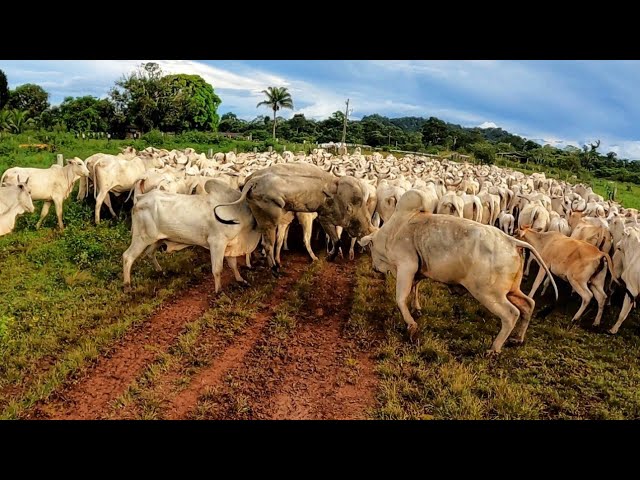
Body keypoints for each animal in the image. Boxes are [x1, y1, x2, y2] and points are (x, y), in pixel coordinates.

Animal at [122, 180, 260, 292]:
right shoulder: (217, 242)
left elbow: (233, 265)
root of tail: (140, 198)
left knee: (150, 253)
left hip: (158, 239)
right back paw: (127, 286)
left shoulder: (230, 245)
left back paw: (161, 272)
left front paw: (240, 280)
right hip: (141, 238)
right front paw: (218, 291)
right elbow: (217, 269)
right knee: (127, 257)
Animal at [212, 162, 372, 272]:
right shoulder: (325, 218)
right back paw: (275, 268)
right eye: (350, 206)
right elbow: (335, 239)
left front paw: (330, 256)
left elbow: (337, 240)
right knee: (268, 244)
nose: (365, 232)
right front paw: (328, 256)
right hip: (270, 218)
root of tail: (253, 181)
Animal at [358, 189, 556, 354]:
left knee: (511, 314)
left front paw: (412, 326)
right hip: (512, 291)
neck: (395, 229)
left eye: (370, 248)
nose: (374, 267)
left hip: (488, 294)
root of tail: (512, 242)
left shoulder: (406, 266)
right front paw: (417, 309)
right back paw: (517, 338)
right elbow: (415, 288)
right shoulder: (418, 271)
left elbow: (400, 298)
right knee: (528, 305)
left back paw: (494, 348)